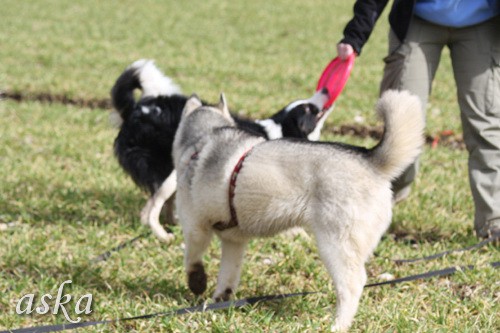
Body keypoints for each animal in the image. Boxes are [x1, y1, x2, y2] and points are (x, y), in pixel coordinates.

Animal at [112, 59, 334, 240]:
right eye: (309, 109)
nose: (325, 90)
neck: (280, 129)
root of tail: (136, 110)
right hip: (170, 174)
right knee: (152, 207)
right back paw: (164, 233)